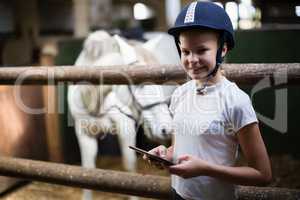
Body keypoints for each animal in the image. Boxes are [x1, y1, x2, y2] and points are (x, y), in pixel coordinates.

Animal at [67, 30, 180, 199]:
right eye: (139, 82)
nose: (166, 128)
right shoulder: (83, 132)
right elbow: (87, 169)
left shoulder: (125, 128)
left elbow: (129, 166)